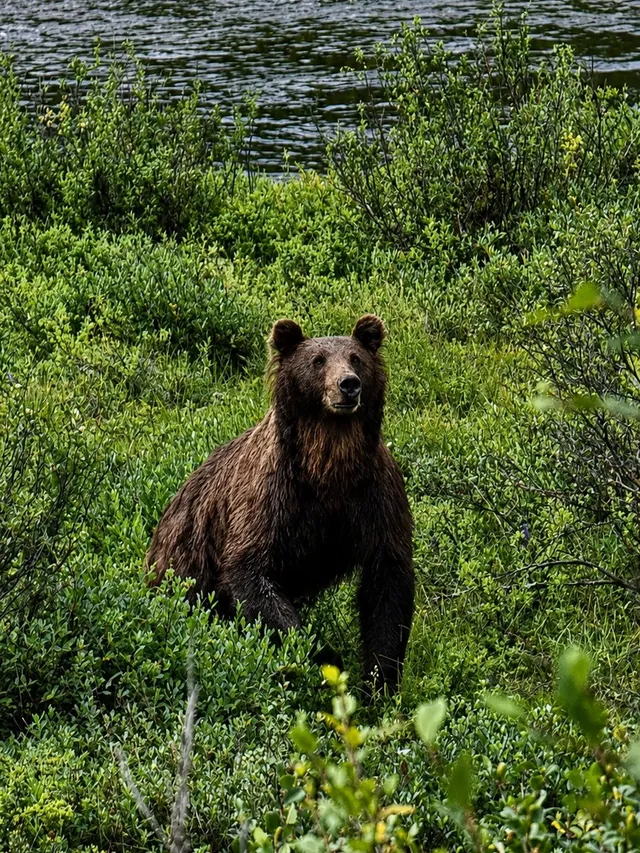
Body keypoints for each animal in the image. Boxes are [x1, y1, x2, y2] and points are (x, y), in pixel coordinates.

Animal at [145, 314, 414, 692]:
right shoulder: (273, 498)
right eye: (317, 361)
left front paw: (380, 679)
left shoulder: (375, 496)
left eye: (356, 357)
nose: (348, 385)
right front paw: (325, 655)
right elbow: (251, 574)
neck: (329, 462)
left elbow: (388, 583)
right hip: (184, 562)